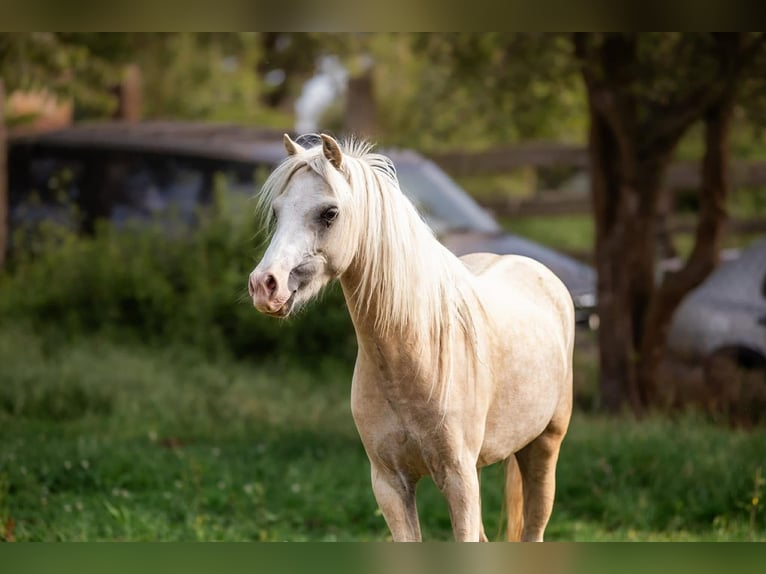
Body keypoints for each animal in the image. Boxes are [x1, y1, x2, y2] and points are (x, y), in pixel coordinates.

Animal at [247, 134, 574, 542]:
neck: (414, 359)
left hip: (544, 449)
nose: (265, 285)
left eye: (329, 213)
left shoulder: (459, 480)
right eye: (277, 213)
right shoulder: (390, 483)